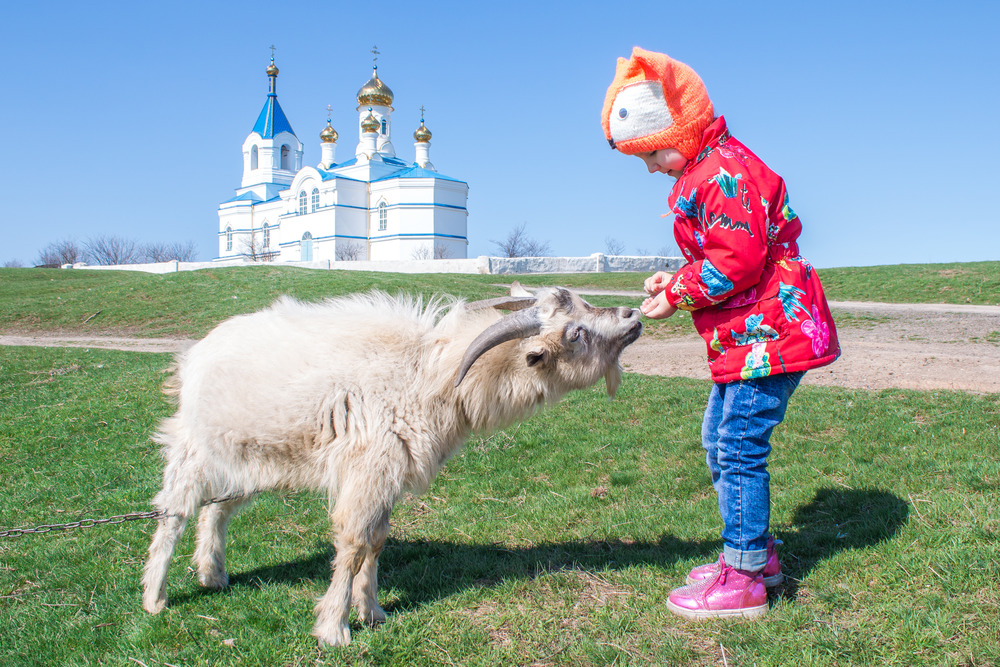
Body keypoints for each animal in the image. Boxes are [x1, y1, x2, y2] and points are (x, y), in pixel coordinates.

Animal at [141, 285, 642, 646]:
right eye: (575, 333)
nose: (633, 315)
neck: (428, 376)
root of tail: (195, 355)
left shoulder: (389, 474)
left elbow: (377, 541)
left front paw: (373, 611)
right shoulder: (370, 468)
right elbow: (352, 541)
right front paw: (335, 628)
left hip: (251, 458)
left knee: (216, 510)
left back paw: (213, 576)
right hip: (194, 449)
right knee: (174, 514)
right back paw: (154, 598)